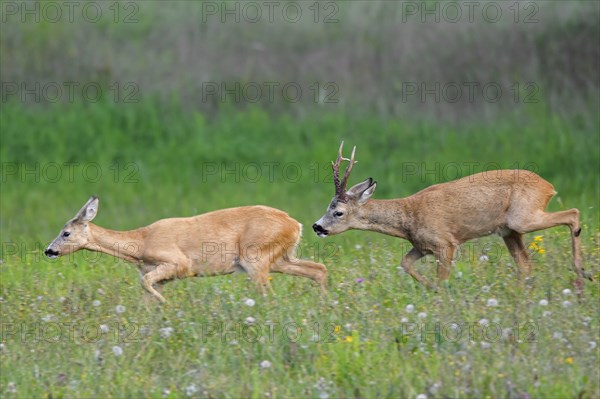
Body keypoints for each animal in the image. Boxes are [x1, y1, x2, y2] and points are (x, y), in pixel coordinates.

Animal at [45, 197, 328, 304]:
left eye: (66, 233)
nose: (49, 251)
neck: (141, 243)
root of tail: (296, 224)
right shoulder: (158, 276)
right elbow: (146, 292)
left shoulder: (177, 263)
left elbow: (147, 285)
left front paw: (167, 306)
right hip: (280, 258)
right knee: (319, 268)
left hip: (255, 257)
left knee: (270, 294)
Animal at [314, 143, 592, 288]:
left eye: (338, 212)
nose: (317, 226)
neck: (408, 217)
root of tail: (548, 186)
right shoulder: (422, 245)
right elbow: (405, 263)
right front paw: (429, 288)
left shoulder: (445, 243)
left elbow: (443, 277)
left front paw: (439, 294)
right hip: (509, 231)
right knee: (525, 264)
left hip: (522, 218)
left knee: (574, 213)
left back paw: (582, 272)